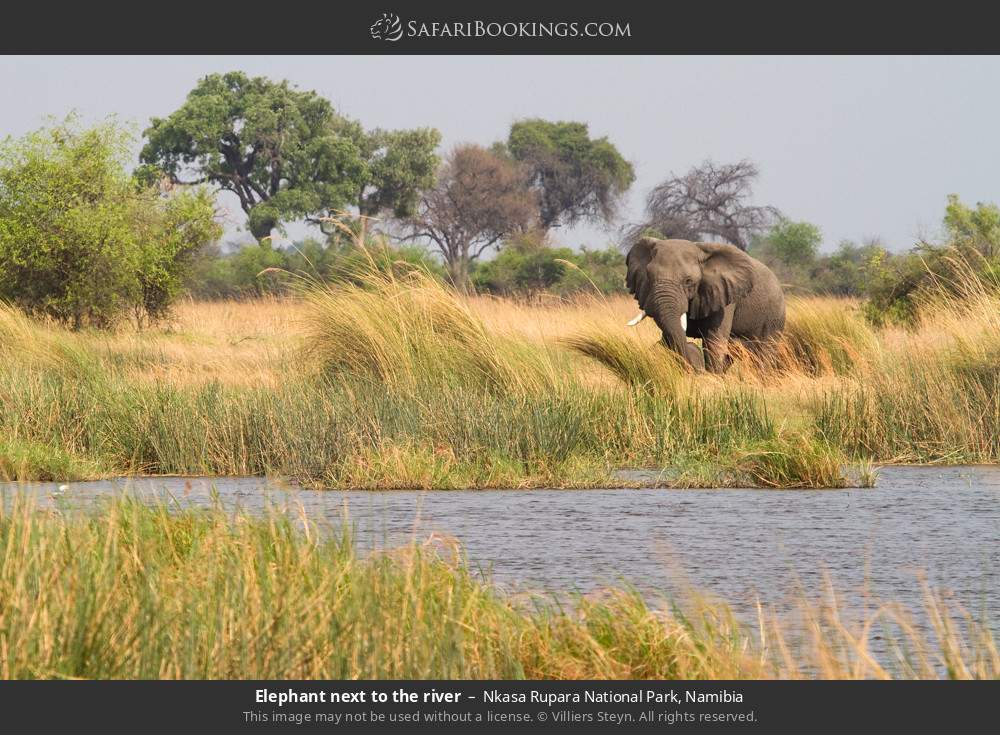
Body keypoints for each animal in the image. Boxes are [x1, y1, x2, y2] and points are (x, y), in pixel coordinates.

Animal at [620, 237, 784, 374]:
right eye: (649, 276)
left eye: (688, 281)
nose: (692, 348)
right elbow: (669, 336)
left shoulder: (724, 295)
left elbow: (714, 341)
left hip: (774, 318)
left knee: (764, 355)